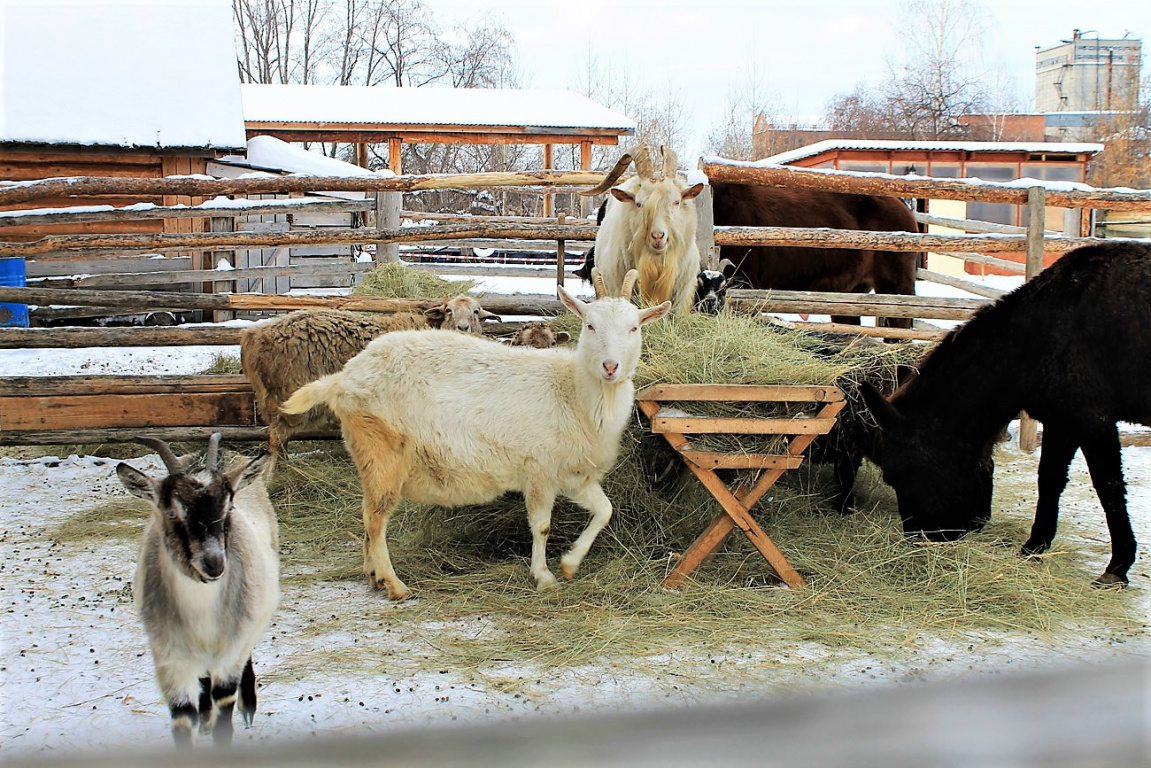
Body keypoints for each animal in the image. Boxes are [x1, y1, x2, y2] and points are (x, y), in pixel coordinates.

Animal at [116, 435, 278, 746]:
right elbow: (182, 718)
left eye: (229, 507)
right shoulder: (169, 659)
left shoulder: (231, 650)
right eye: (170, 512)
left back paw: (248, 706)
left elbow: (224, 710)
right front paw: (200, 718)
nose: (214, 563)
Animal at [278, 270, 672, 598]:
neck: (572, 392)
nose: (610, 366)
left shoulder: (575, 475)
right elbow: (542, 526)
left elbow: (605, 511)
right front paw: (544, 576)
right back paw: (394, 585)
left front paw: (570, 563)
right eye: (589, 325)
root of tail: (343, 378)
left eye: (634, 328)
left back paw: (373, 576)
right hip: (382, 450)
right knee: (375, 519)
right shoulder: (540, 472)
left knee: (366, 514)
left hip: (369, 456)